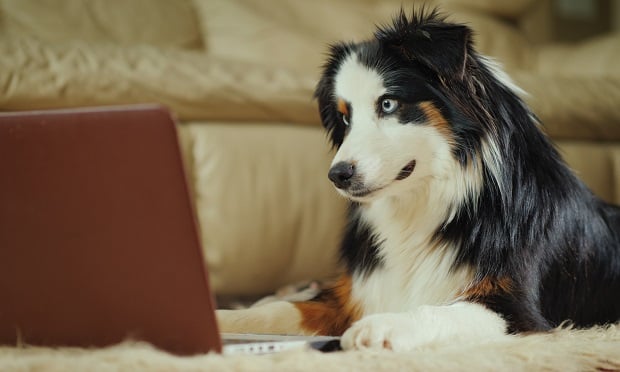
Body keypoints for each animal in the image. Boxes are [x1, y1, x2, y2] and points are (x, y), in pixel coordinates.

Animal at [217, 9, 620, 352]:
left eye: (388, 104)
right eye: (345, 118)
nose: (337, 175)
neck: (423, 204)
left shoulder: (515, 307)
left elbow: (442, 310)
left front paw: (383, 325)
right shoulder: (356, 292)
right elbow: (276, 311)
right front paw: (222, 318)